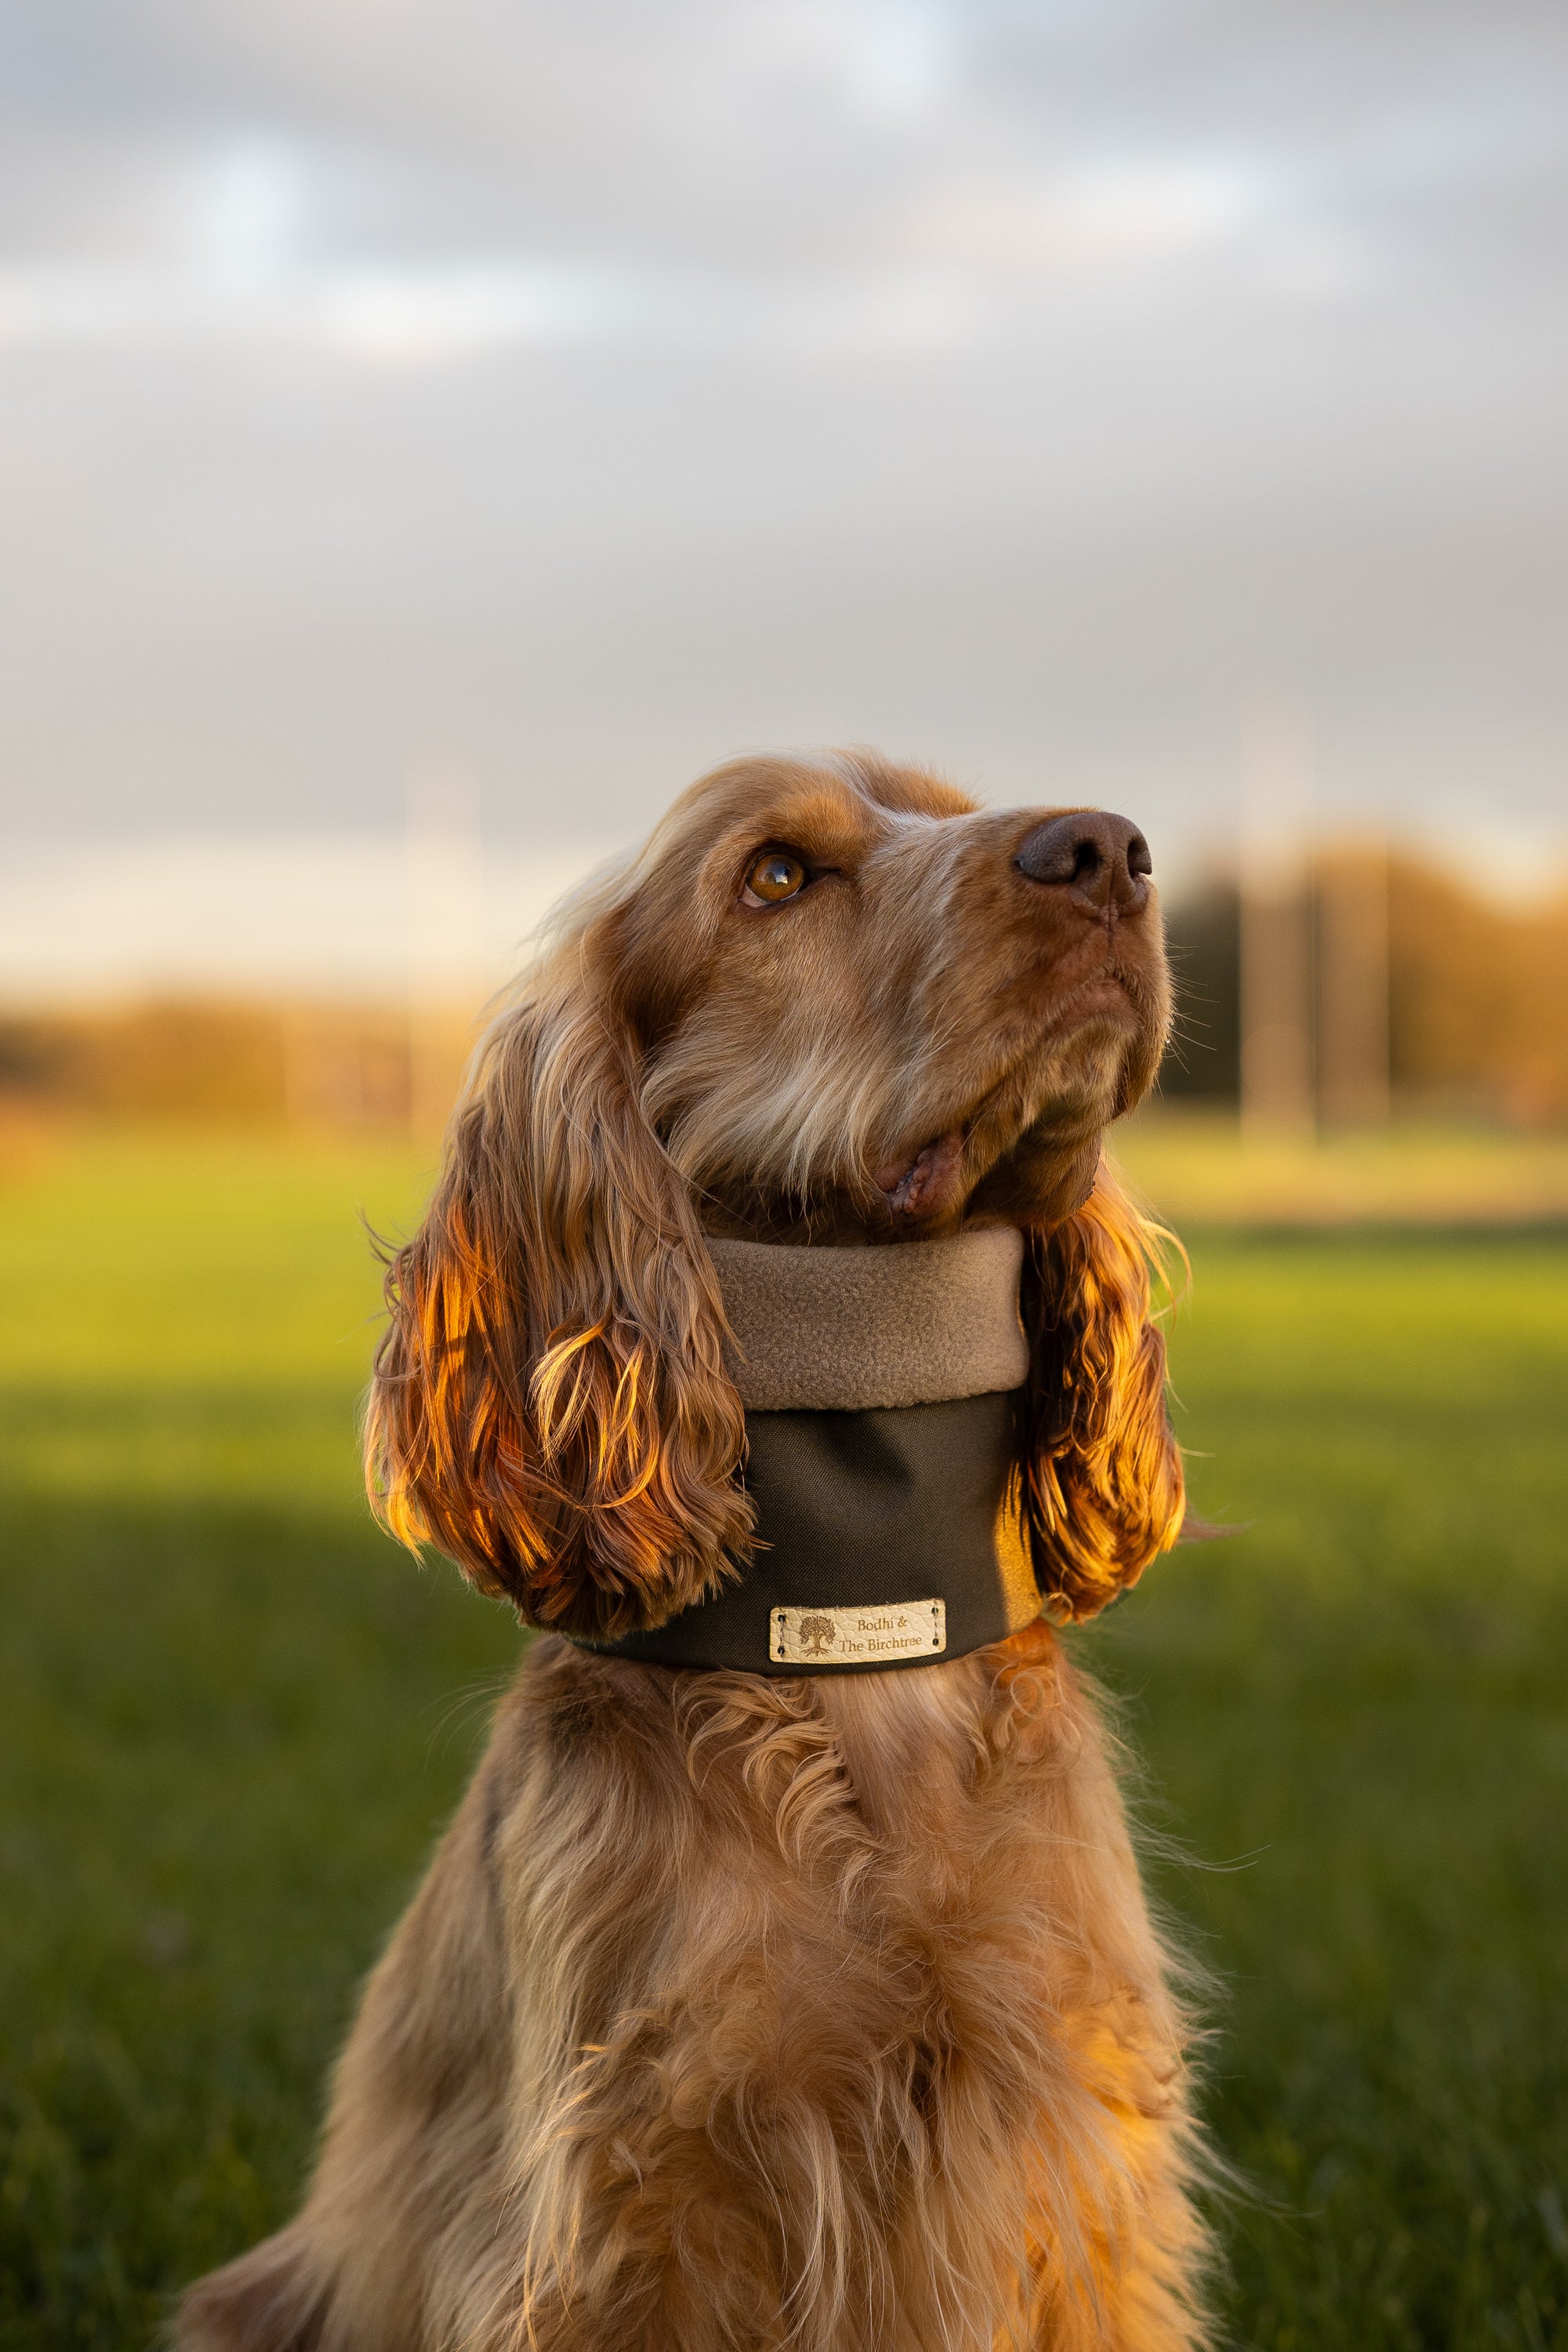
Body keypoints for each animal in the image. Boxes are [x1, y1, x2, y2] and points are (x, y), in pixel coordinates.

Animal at [184, 753, 1213, 2352]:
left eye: (952, 809)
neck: (861, 1657)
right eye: (774, 875)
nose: (1106, 851)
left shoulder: (1078, 2147)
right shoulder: (637, 2203)